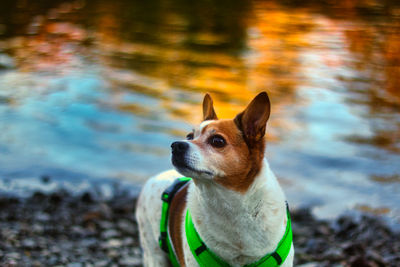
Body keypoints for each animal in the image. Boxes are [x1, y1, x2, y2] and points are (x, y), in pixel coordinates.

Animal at [137, 92, 294, 267]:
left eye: (217, 141)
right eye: (189, 136)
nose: (176, 145)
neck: (230, 206)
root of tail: (157, 176)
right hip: (153, 253)